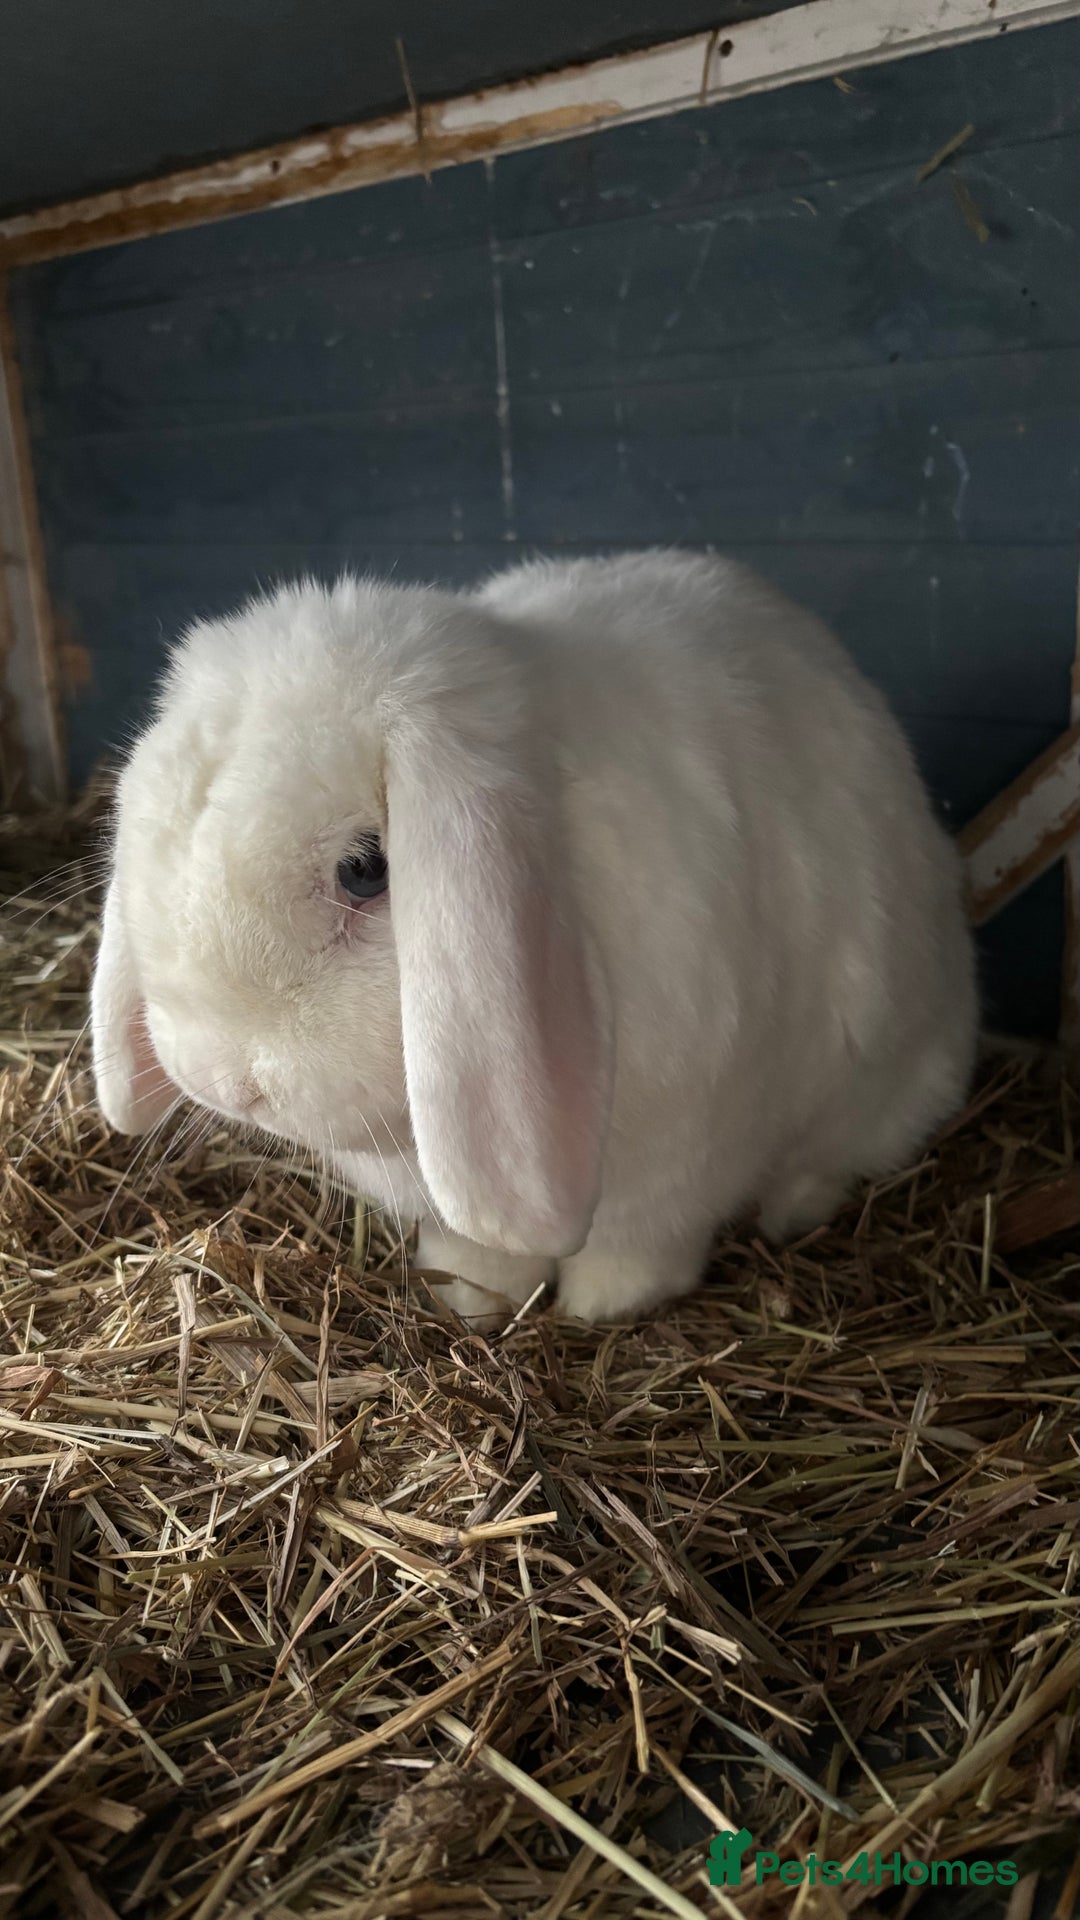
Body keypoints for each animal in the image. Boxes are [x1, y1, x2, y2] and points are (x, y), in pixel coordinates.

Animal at [91, 549, 978, 1325]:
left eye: (365, 871)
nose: (221, 1079)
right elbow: (479, 1252)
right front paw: (469, 1301)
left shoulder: (681, 1167)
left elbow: (638, 1249)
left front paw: (604, 1310)